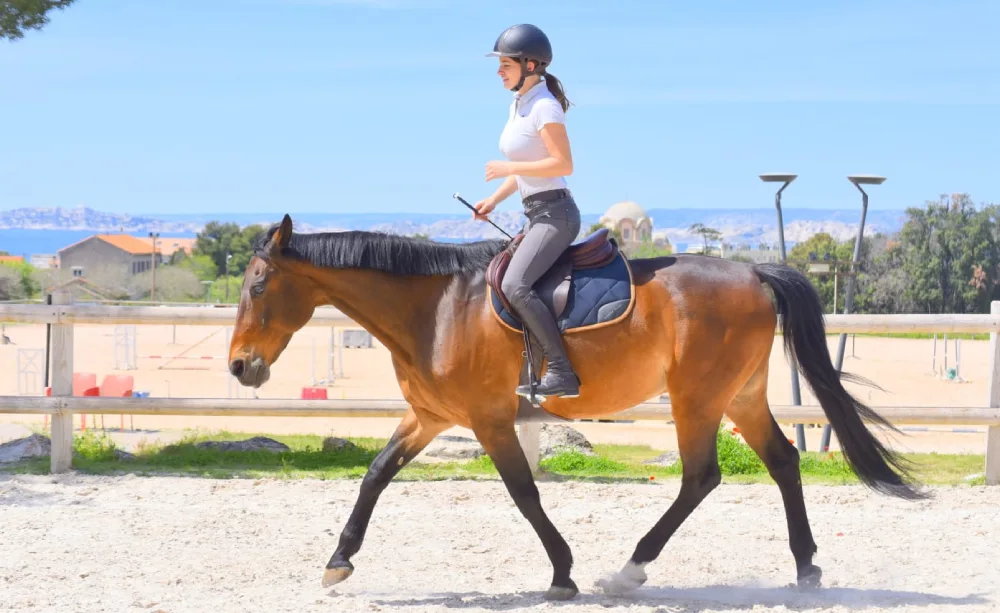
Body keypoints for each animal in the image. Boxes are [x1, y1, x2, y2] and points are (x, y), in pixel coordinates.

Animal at [229, 213, 928, 600]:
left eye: (258, 286)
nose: (239, 366)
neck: (436, 309)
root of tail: (754, 272)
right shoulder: (430, 418)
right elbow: (375, 475)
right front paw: (338, 562)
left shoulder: (488, 420)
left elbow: (523, 493)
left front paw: (562, 572)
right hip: (742, 395)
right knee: (783, 461)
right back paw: (806, 569)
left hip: (698, 398)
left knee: (701, 476)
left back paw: (628, 574)